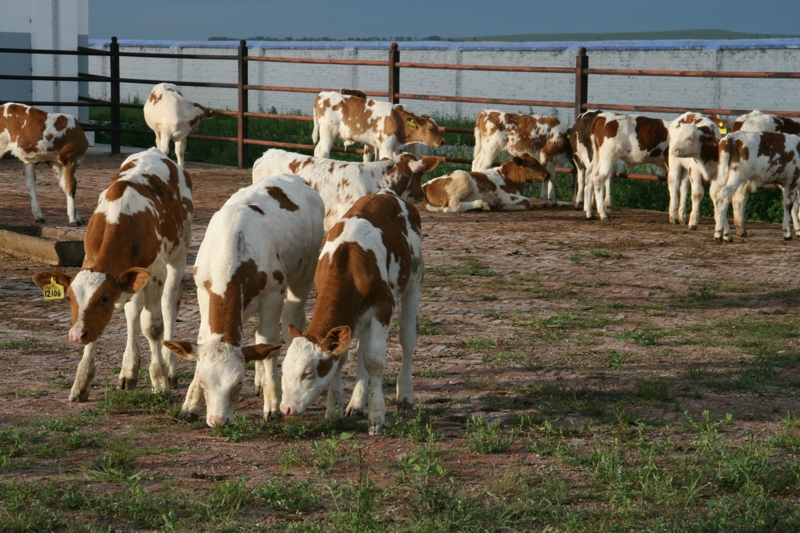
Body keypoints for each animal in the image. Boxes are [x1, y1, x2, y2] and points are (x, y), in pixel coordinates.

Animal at [32, 148, 193, 401]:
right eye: (68, 298)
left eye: (105, 298)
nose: (76, 335)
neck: (123, 217)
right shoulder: (97, 263)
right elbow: (101, 327)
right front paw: (82, 381)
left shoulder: (155, 272)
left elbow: (153, 327)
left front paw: (160, 381)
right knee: (132, 313)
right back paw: (129, 371)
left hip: (179, 253)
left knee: (169, 305)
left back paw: (170, 369)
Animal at [163, 174, 324, 426]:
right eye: (203, 381)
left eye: (238, 384)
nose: (218, 421)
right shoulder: (204, 294)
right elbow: (204, 339)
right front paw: (190, 404)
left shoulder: (273, 295)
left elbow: (270, 343)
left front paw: (272, 404)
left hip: (305, 273)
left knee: (292, 319)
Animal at [280, 189, 424, 436]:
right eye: (284, 368)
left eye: (308, 372)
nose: (285, 408)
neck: (348, 264)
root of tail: (386, 192)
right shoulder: (348, 317)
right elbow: (343, 357)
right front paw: (334, 409)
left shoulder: (382, 305)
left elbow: (374, 360)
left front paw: (376, 416)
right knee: (362, 348)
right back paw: (356, 403)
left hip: (413, 280)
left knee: (407, 338)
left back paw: (404, 395)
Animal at [312, 90, 444, 162]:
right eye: (431, 129)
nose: (442, 141)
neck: (397, 118)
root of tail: (322, 94)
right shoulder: (386, 147)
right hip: (328, 133)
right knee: (323, 153)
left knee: (317, 151)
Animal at [670, 128, 800, 242]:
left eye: (690, 137)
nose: (674, 149)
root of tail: (731, 137)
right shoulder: (793, 180)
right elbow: (790, 204)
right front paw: (788, 233)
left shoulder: (786, 183)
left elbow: (791, 204)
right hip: (736, 176)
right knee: (723, 196)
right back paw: (719, 234)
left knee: (720, 198)